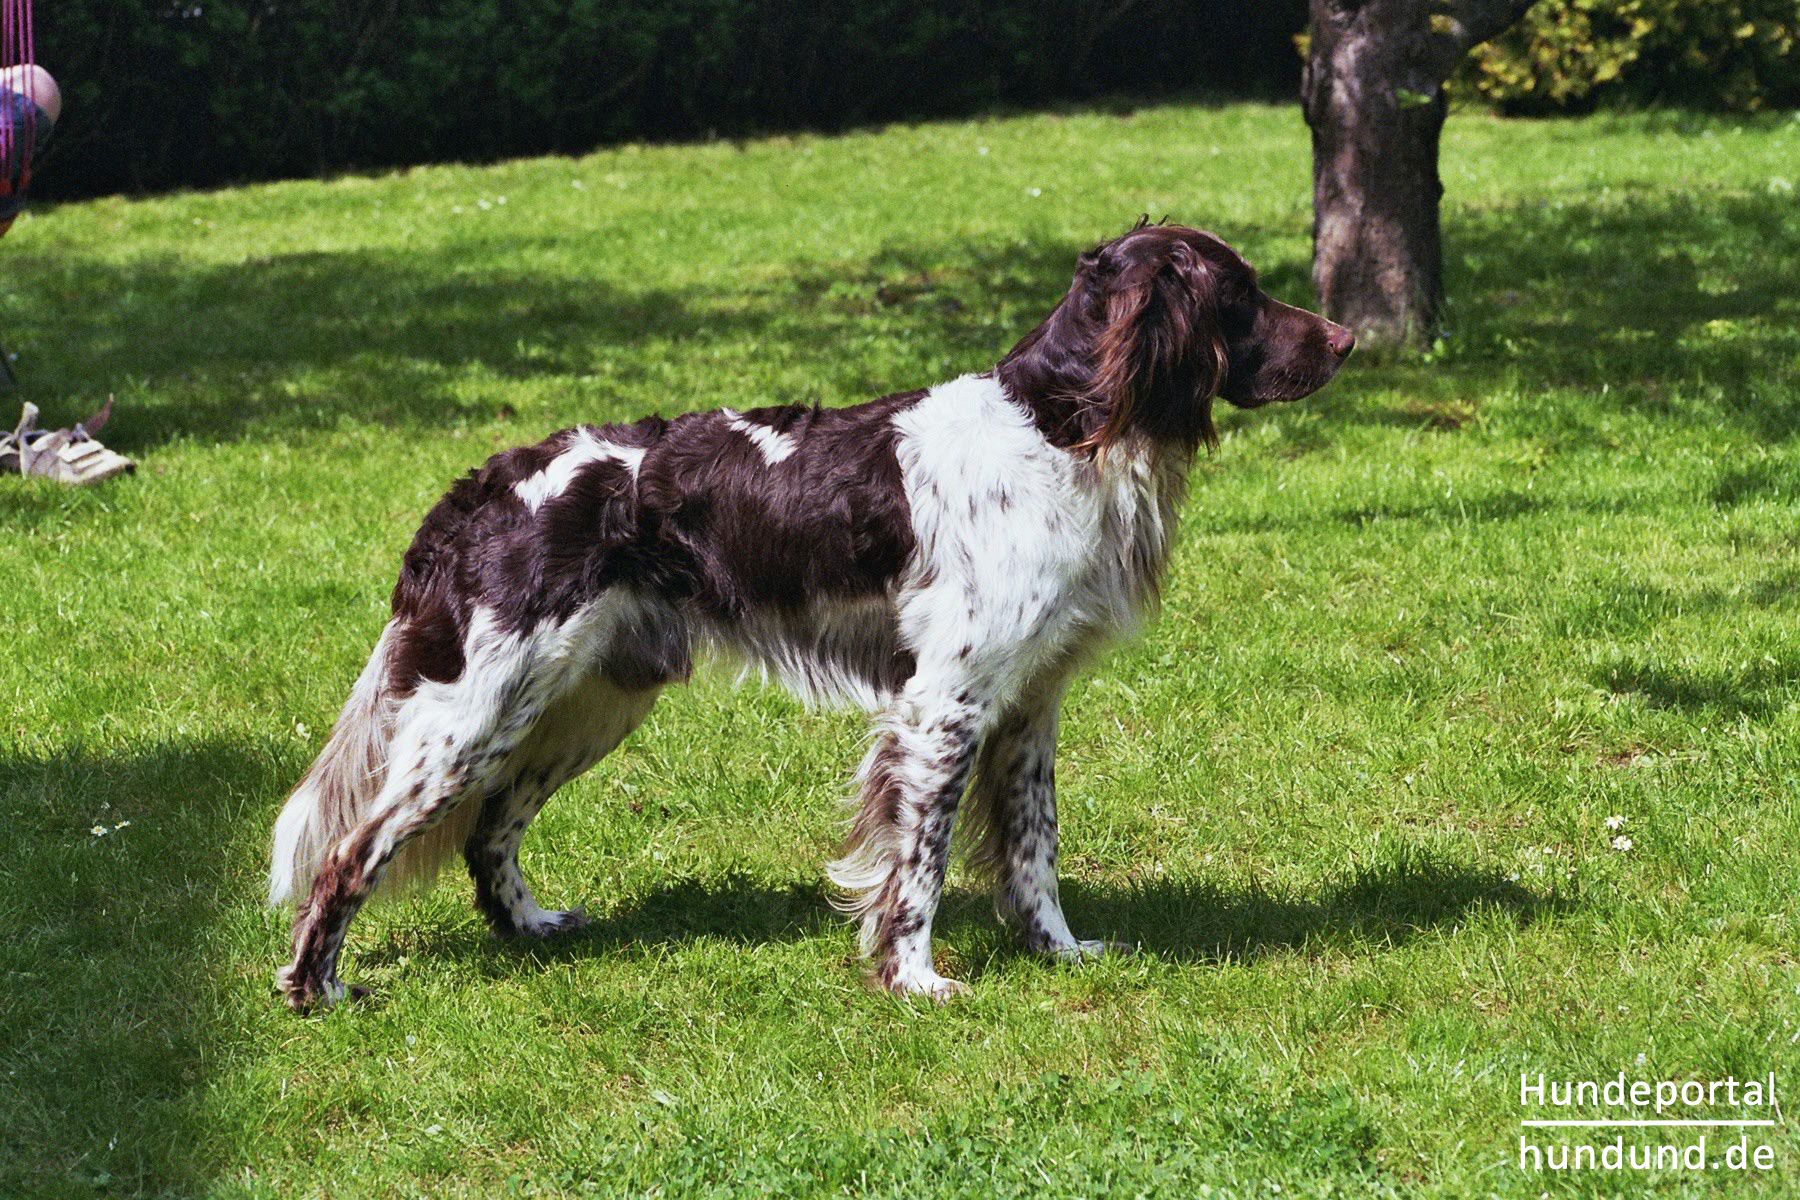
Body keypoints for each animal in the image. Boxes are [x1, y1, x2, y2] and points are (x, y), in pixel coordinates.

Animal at [270, 220, 1353, 1007]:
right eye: (1241, 296)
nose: (1347, 339)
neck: (1058, 432)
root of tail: (487, 483)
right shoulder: (943, 707)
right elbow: (919, 864)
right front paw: (914, 980)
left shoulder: (1029, 704)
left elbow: (1034, 851)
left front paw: (1060, 952)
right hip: (479, 711)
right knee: (351, 851)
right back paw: (317, 989)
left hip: (587, 702)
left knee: (490, 830)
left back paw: (532, 929)